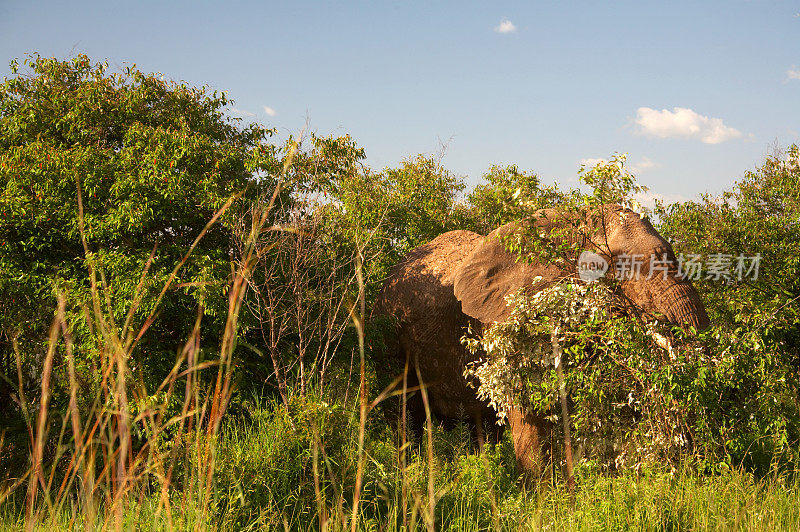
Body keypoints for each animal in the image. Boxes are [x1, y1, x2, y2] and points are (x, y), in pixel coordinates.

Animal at [374, 206, 708, 476]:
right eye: (619, 266)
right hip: (389, 337)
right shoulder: (507, 317)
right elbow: (525, 406)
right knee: (405, 411)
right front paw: (540, 499)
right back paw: (411, 471)